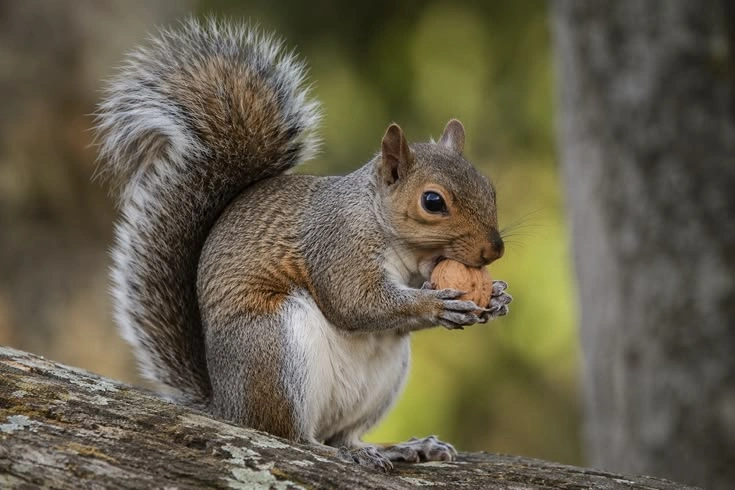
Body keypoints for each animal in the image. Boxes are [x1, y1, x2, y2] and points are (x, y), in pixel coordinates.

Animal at [95, 19, 512, 472]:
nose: (494, 250)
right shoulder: (336, 246)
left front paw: (498, 297)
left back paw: (395, 448)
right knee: (289, 435)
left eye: (489, 187)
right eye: (433, 202)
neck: (385, 229)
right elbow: (355, 303)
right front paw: (437, 304)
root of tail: (226, 405)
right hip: (275, 349)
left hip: (380, 381)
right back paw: (333, 451)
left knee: (343, 433)